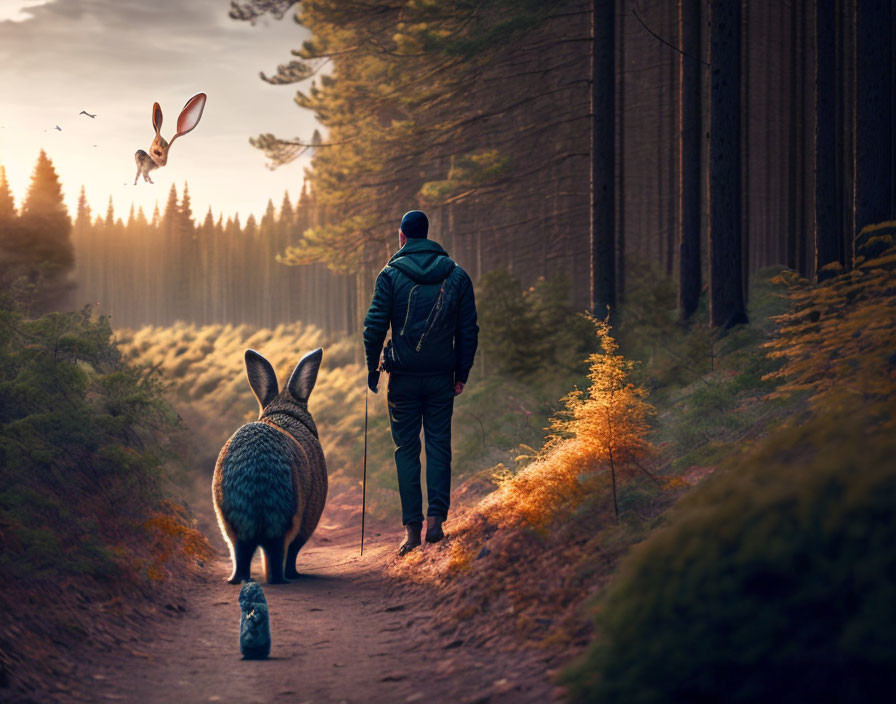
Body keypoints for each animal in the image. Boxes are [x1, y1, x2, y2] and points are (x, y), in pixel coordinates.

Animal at [214, 346, 328, 584]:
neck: (284, 412)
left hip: (229, 522)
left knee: (240, 553)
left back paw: (236, 580)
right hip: (289, 518)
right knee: (281, 554)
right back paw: (284, 578)